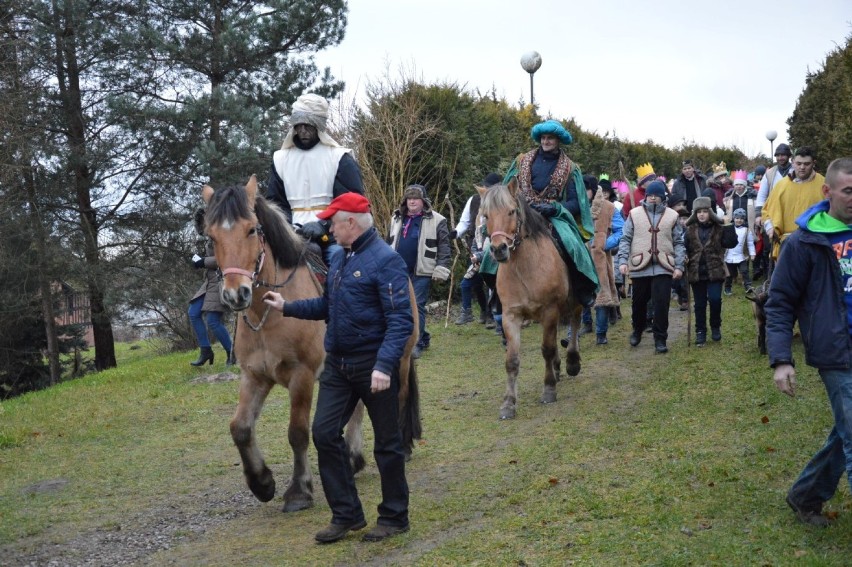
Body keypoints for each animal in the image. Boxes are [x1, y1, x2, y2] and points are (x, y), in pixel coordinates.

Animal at [203, 178, 422, 516]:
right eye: (211, 236)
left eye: (251, 229)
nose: (235, 294)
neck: (268, 316)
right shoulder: (254, 376)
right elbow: (240, 428)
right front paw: (262, 483)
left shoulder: (301, 376)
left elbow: (297, 432)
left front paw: (299, 491)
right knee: (358, 406)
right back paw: (352, 457)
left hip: (395, 360)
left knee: (397, 398)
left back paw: (397, 447)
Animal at [480, 180, 584, 420]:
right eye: (486, 215)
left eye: (511, 211)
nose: (498, 249)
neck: (524, 267)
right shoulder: (511, 315)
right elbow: (512, 360)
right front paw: (508, 403)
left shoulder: (550, 309)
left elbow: (546, 349)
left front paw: (548, 389)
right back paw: (558, 366)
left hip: (573, 301)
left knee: (574, 322)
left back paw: (572, 362)